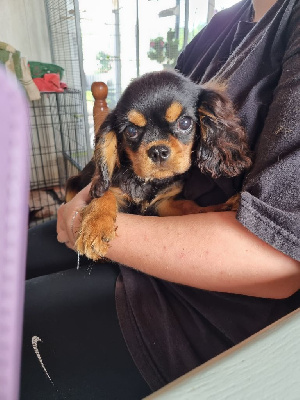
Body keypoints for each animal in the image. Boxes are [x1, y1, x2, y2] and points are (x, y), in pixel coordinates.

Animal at [65, 70, 251, 260]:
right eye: (131, 131)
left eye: (185, 123)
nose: (158, 151)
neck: (148, 182)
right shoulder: (111, 188)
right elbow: (104, 194)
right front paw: (94, 228)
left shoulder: (163, 204)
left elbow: (189, 207)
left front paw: (221, 207)